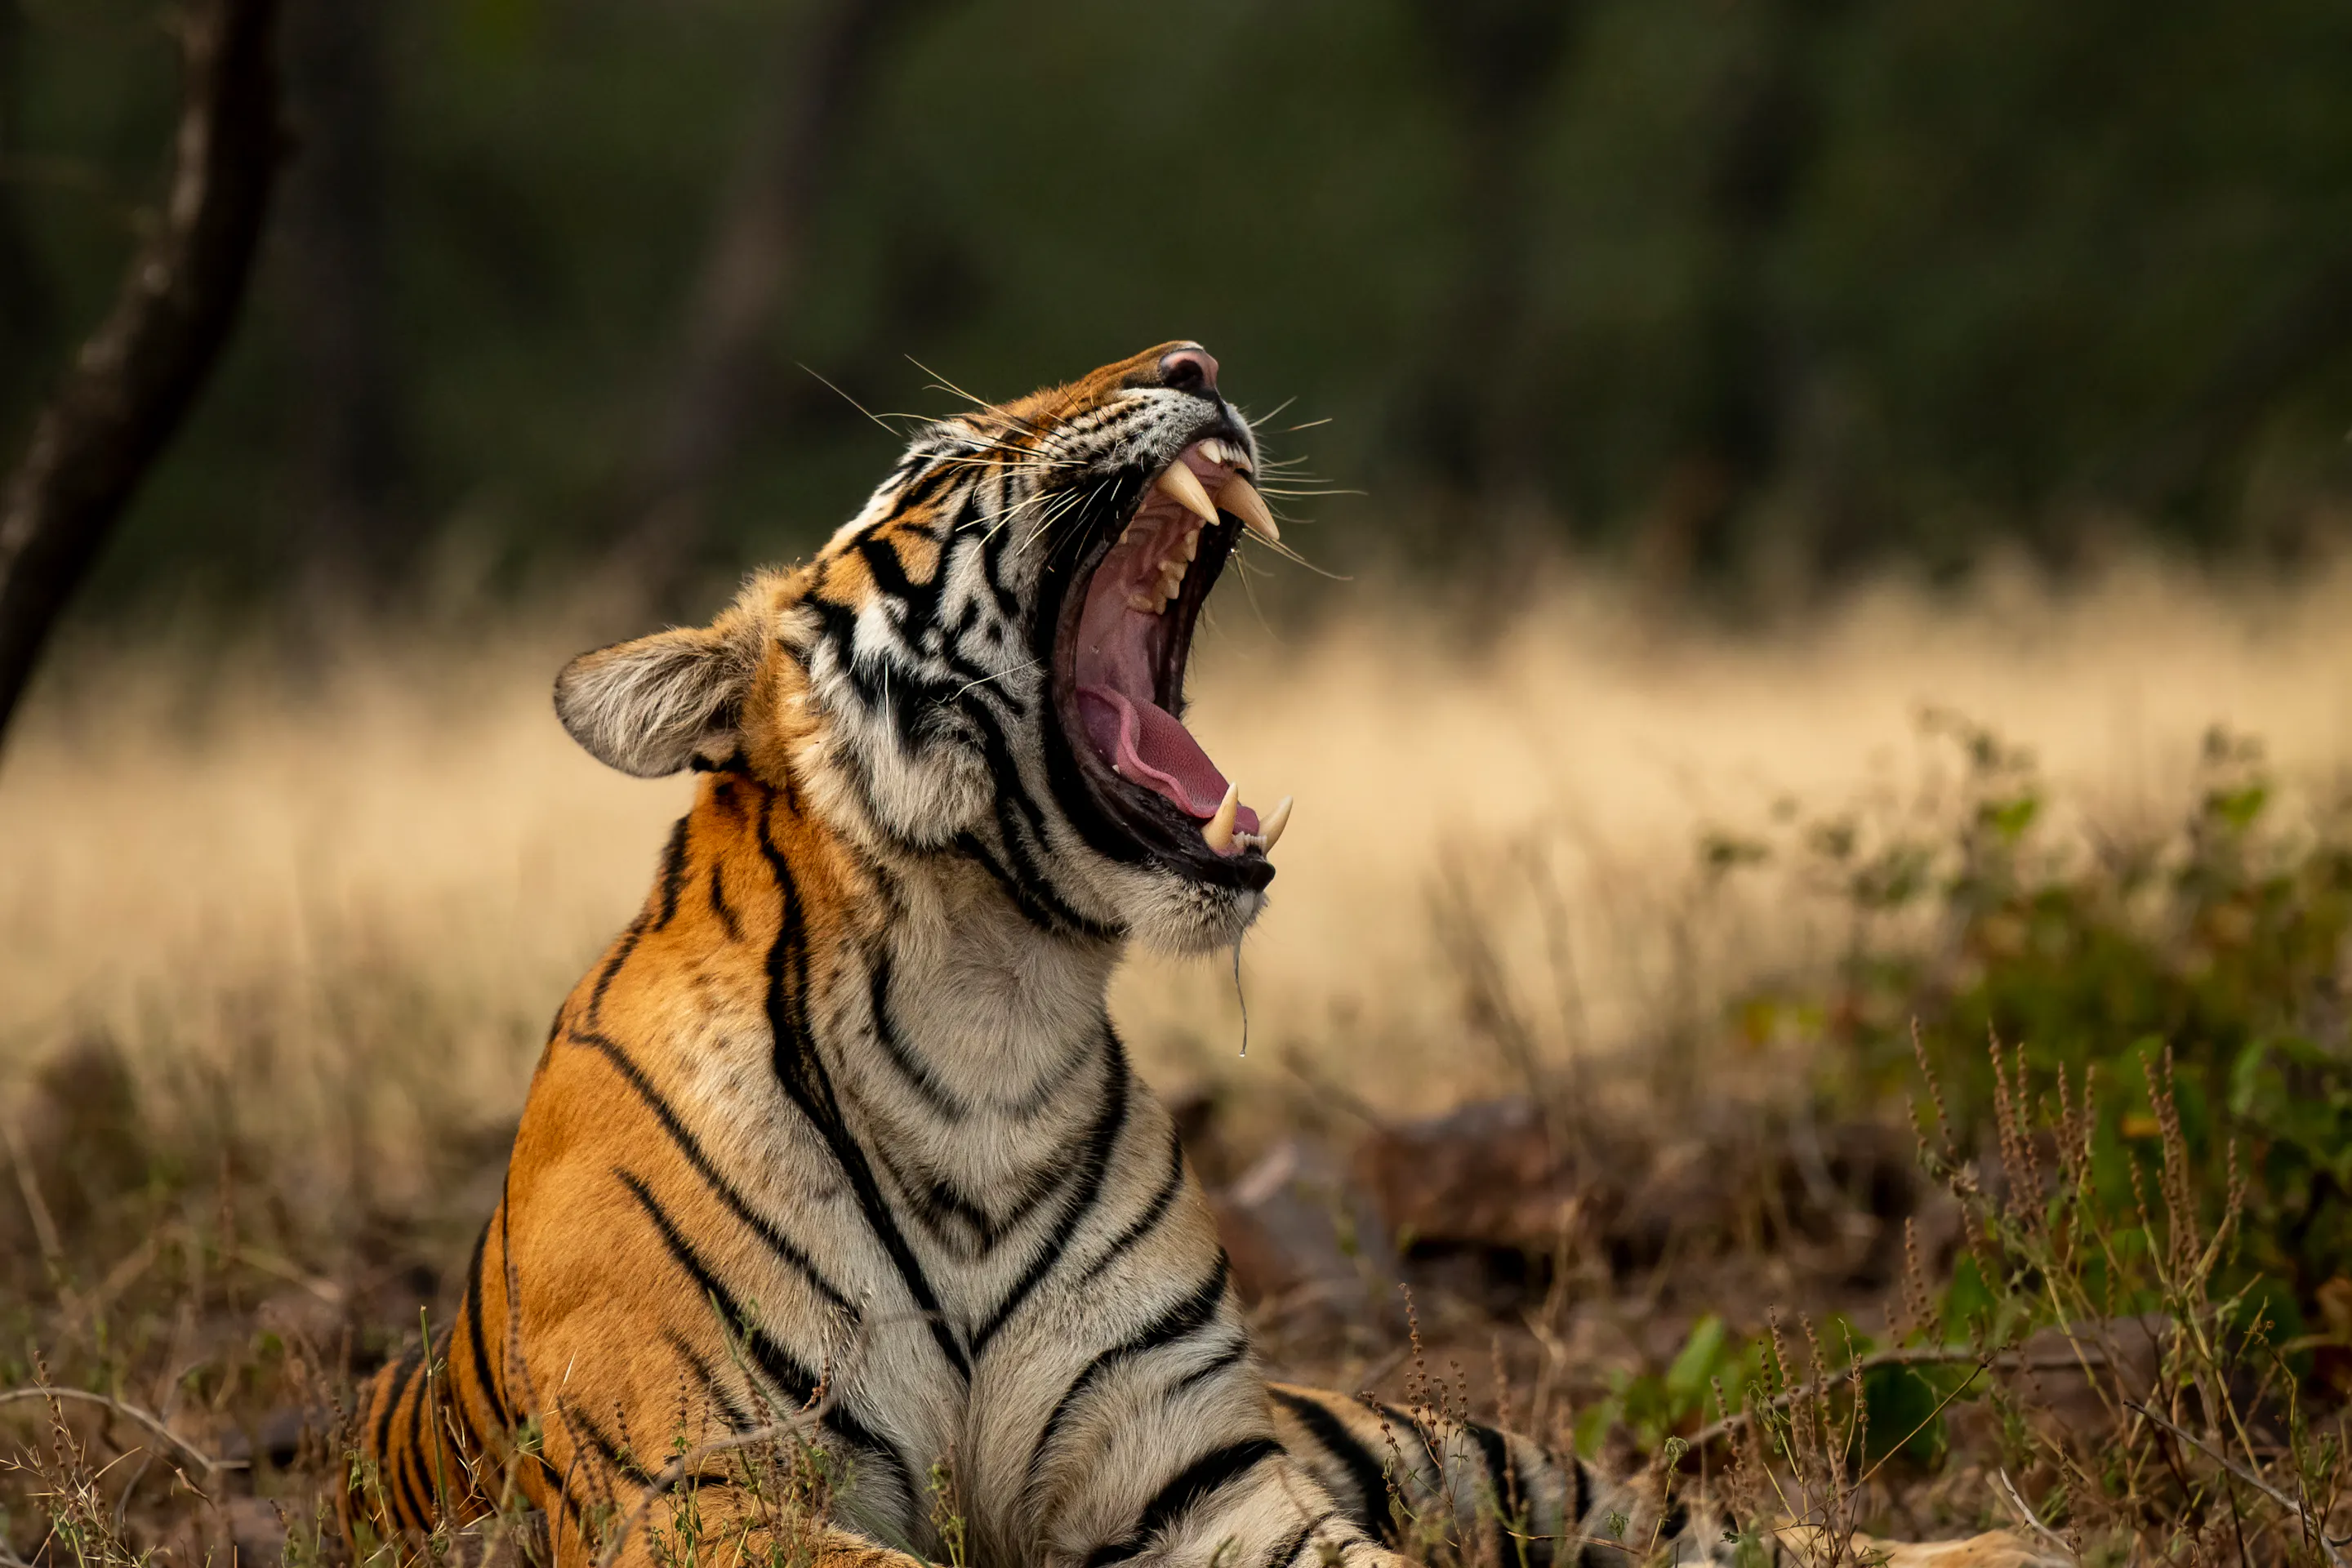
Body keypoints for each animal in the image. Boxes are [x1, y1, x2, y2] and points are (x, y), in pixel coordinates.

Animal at [345, 344, 2060, 1568]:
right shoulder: (696, 1487)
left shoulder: (1202, 1476)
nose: (1197, 356)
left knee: (1717, 1531)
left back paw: (1996, 1549)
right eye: (941, 461)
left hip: (1451, 1449)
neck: (985, 1020)